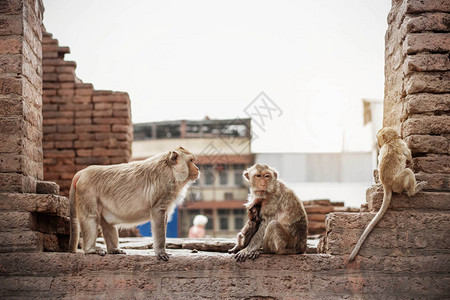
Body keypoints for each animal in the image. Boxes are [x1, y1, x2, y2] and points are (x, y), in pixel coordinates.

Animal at [68, 146, 199, 260]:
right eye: (191, 161)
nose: (197, 168)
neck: (171, 170)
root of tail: (82, 172)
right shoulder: (165, 188)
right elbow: (158, 212)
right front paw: (161, 251)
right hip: (87, 191)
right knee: (90, 216)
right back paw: (91, 249)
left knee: (107, 222)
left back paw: (113, 249)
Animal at [350, 127, 428, 262]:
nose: (378, 144)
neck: (391, 141)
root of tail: (387, 184)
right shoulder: (402, 144)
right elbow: (409, 156)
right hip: (398, 183)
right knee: (408, 172)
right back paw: (414, 190)